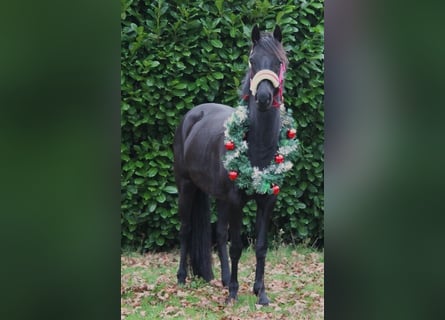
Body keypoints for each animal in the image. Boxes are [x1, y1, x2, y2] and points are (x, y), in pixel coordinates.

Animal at [173, 25, 288, 304]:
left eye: (278, 61)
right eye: (252, 60)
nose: (264, 98)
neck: (258, 146)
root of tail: (191, 116)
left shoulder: (267, 200)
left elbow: (260, 246)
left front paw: (261, 292)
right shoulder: (237, 200)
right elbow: (237, 246)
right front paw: (235, 293)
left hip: (219, 196)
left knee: (219, 234)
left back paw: (224, 279)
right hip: (186, 186)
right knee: (186, 229)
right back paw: (182, 278)